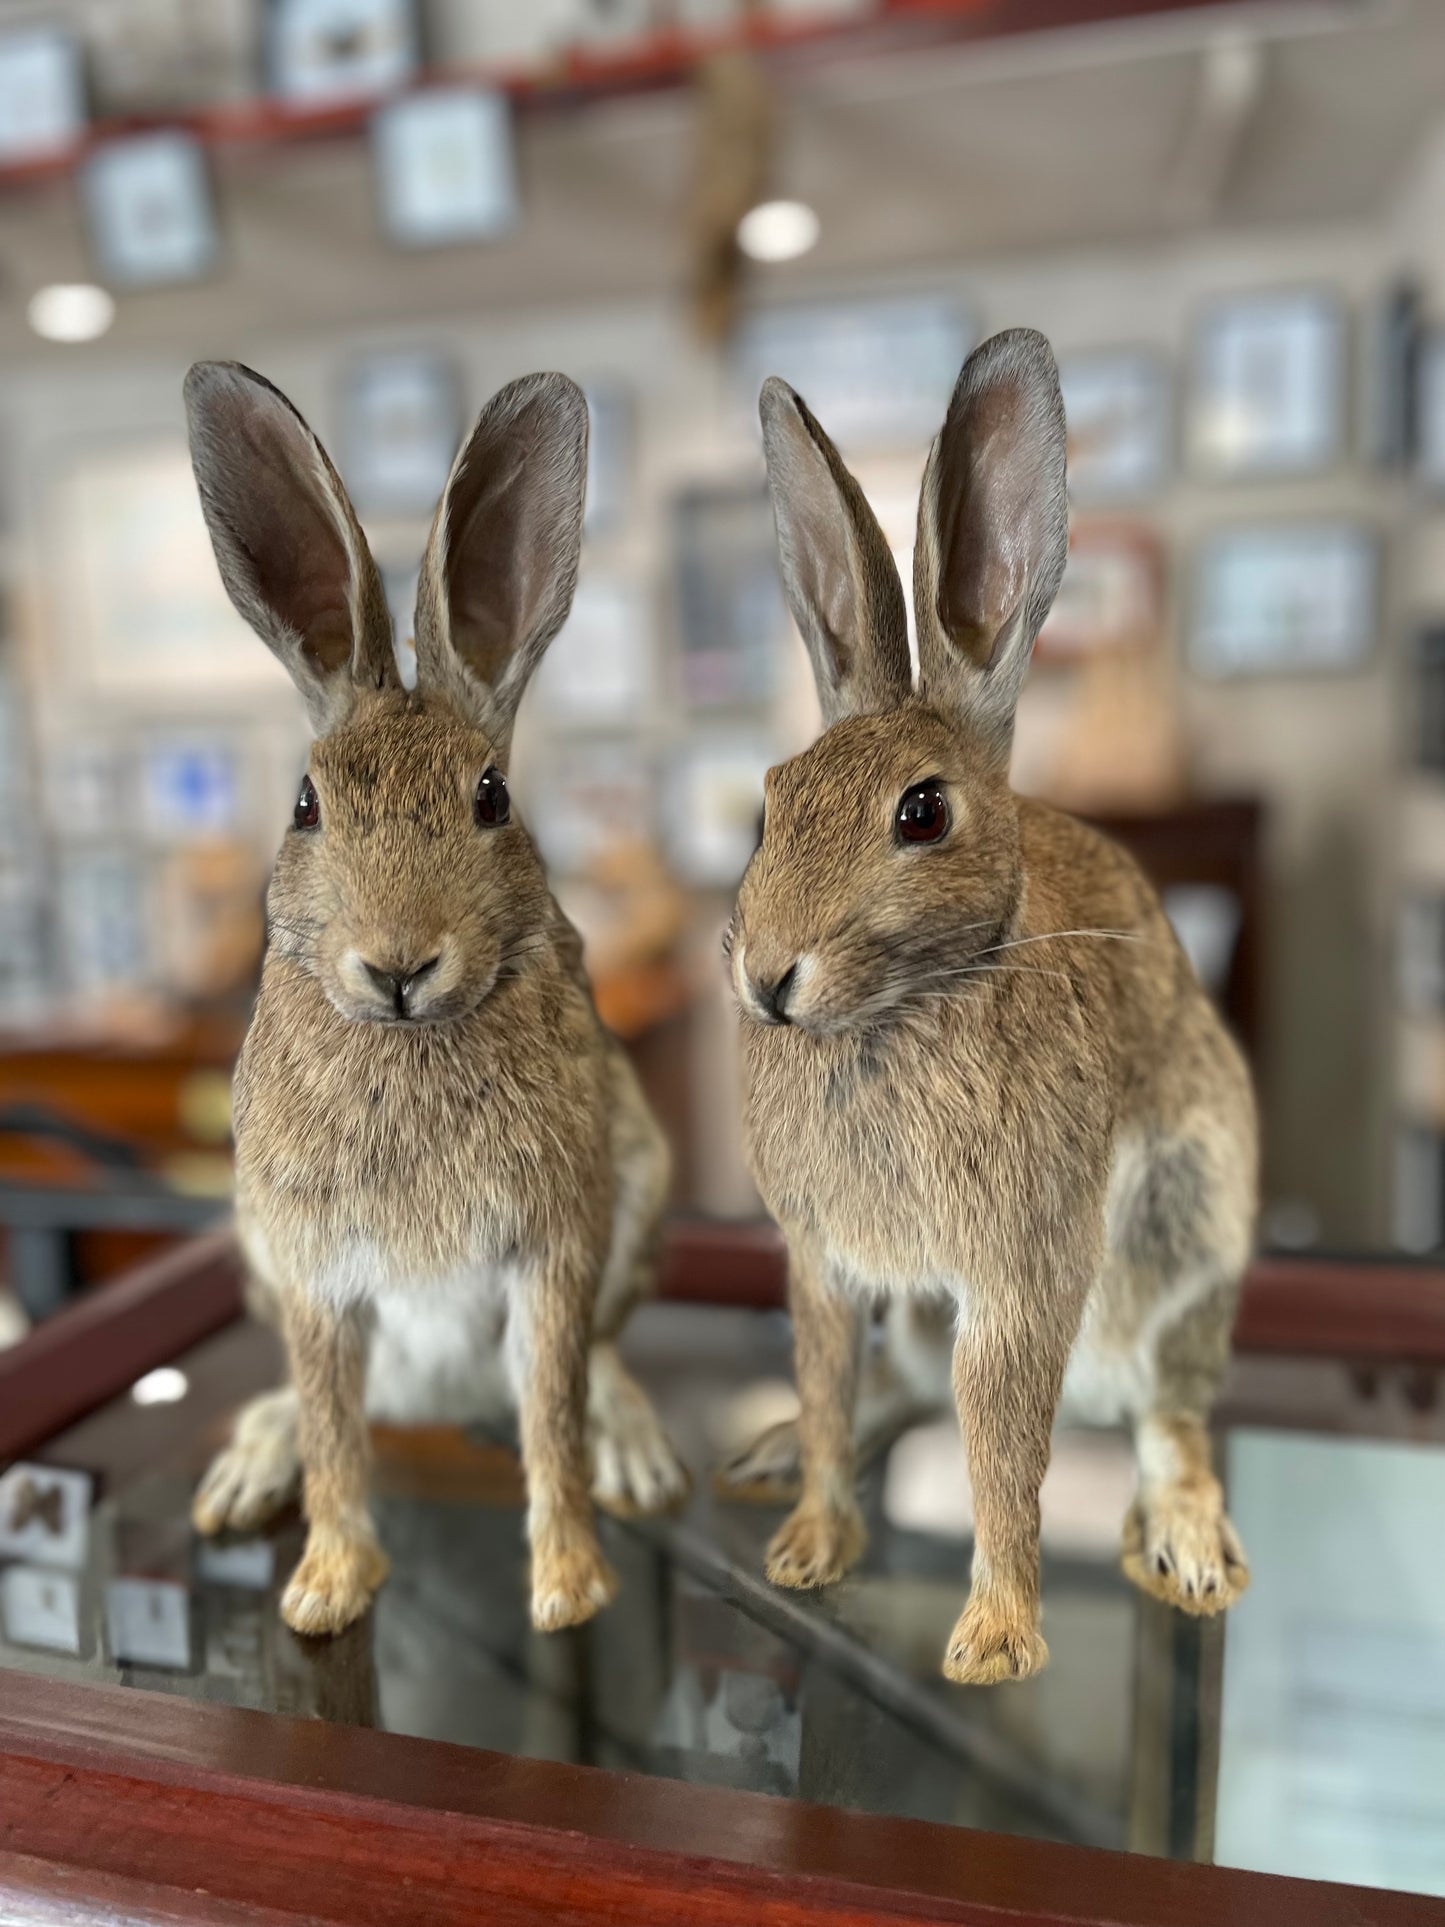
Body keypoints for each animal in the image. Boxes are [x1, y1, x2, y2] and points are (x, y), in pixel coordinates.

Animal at [184, 354, 689, 1634]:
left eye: (491, 796)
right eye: (305, 804)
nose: (400, 964)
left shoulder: (554, 1250)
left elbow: (550, 1413)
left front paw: (569, 1591)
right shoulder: (313, 1272)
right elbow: (331, 1427)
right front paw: (322, 1593)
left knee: (596, 1369)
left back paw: (638, 1452)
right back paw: (245, 1468)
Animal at [728, 331, 1263, 1688]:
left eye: (920, 812)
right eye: (767, 805)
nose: (766, 975)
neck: (901, 1005)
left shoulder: (1020, 1275)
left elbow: (1000, 1448)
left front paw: (993, 1644)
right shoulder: (823, 1264)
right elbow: (829, 1385)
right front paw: (809, 1546)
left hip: (1186, 1251)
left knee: (1167, 1421)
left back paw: (1187, 1551)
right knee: (896, 1399)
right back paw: (765, 1459)